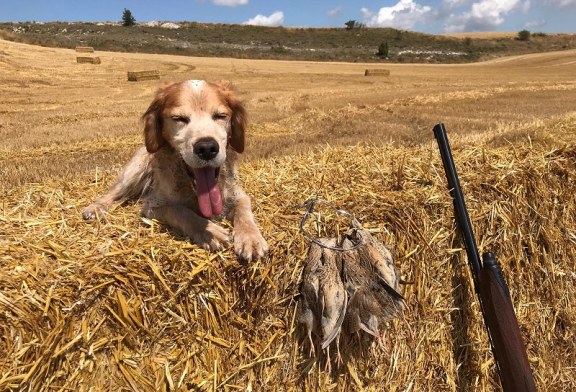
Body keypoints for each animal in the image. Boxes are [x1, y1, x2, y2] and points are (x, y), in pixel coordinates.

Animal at [83, 80, 270, 260]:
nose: (207, 148)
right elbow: (180, 211)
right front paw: (210, 231)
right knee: (116, 193)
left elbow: (244, 211)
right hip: (136, 170)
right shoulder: (152, 206)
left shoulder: (237, 194)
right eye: (179, 118)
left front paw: (250, 238)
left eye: (220, 116)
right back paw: (95, 208)